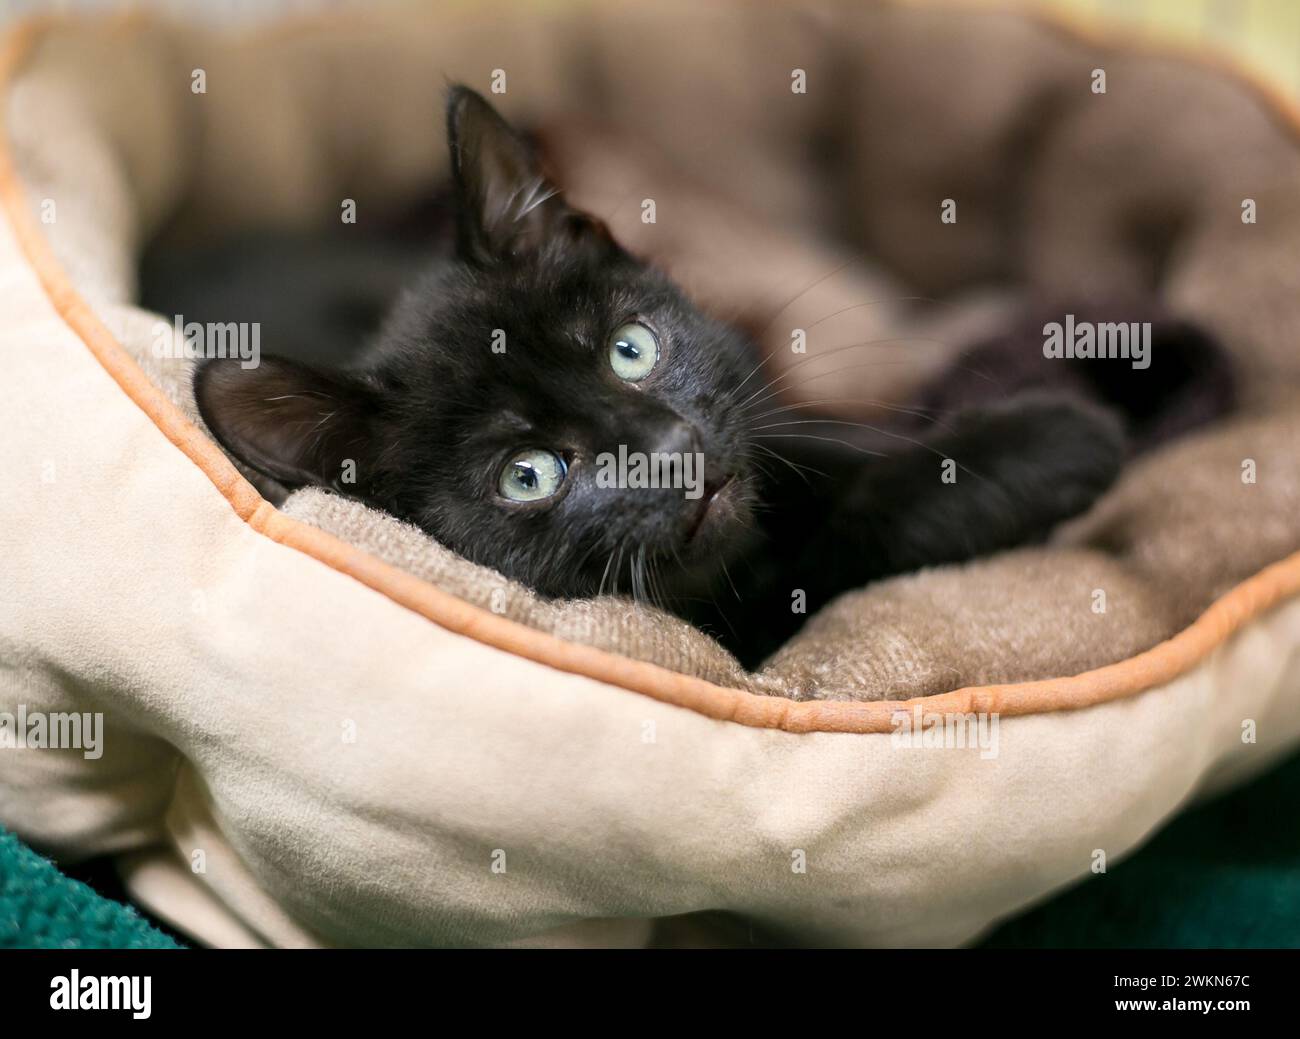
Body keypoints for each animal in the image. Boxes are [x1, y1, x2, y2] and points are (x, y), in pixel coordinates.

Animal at [192, 83, 1180, 665]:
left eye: (631, 349)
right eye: (528, 476)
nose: (671, 451)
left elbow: (810, 460)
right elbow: (841, 538)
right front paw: (1058, 443)